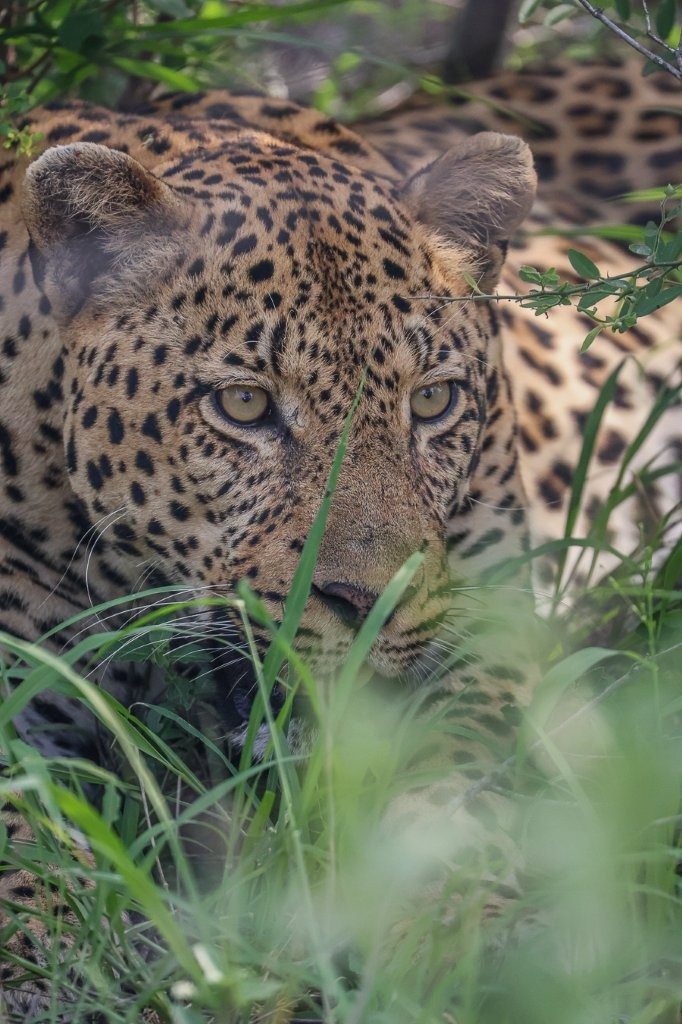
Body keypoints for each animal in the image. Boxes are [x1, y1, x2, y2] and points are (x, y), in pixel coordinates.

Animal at [0, 57, 679, 1019]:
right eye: (244, 404)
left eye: (431, 399)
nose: (368, 604)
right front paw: (40, 954)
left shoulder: (482, 632)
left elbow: (453, 791)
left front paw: (465, 935)